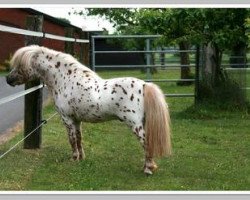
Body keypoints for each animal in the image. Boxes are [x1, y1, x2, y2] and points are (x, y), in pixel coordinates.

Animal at [6, 45, 172, 175]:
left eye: (20, 65)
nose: (8, 79)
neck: (65, 80)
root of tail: (144, 85)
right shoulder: (77, 120)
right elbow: (79, 139)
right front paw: (81, 158)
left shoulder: (67, 119)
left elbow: (72, 139)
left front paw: (73, 159)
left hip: (135, 125)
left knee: (146, 143)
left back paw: (148, 169)